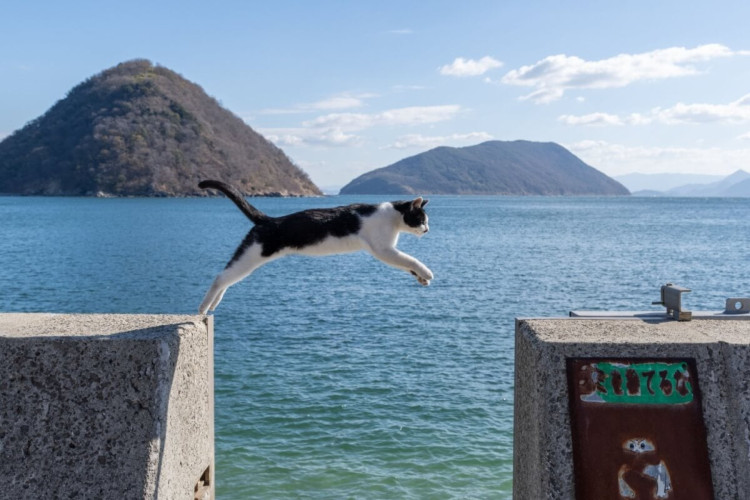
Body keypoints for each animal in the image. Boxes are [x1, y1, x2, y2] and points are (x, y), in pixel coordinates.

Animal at [198, 179, 434, 312]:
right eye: (421, 220)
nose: (427, 230)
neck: (392, 216)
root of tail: (268, 220)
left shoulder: (386, 252)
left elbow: (406, 266)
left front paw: (421, 279)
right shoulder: (383, 250)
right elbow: (410, 260)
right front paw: (426, 272)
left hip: (247, 256)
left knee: (227, 277)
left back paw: (214, 303)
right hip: (253, 255)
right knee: (220, 277)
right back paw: (203, 307)